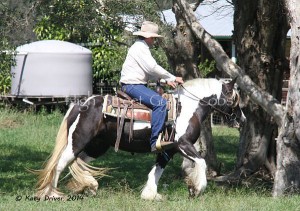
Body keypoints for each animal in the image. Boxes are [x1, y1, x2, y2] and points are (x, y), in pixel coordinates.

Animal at [33, 77, 246, 199]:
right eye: (234, 98)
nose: (242, 119)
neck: (186, 108)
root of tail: (81, 104)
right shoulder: (182, 144)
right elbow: (201, 162)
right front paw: (197, 188)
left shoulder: (168, 149)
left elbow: (158, 170)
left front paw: (151, 195)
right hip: (78, 141)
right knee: (61, 164)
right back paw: (53, 194)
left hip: (97, 146)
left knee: (79, 162)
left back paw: (90, 187)